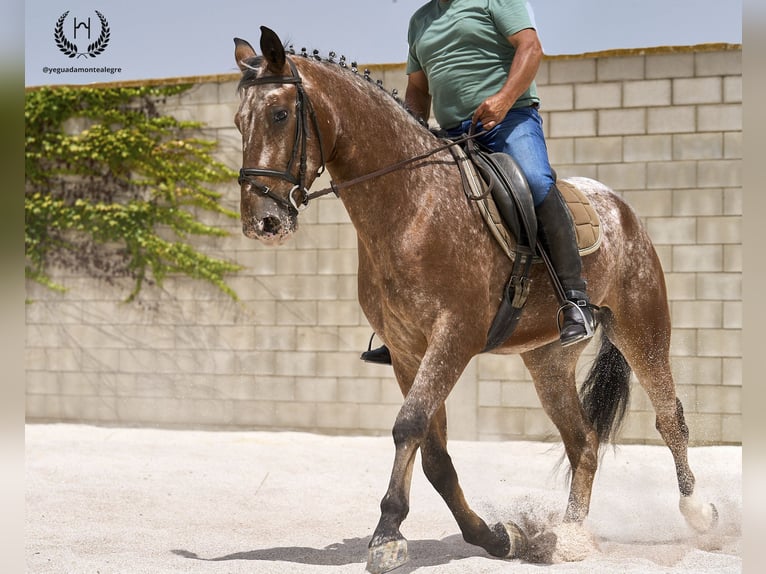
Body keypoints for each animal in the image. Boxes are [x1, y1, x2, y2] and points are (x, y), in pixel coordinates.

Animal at [232, 27, 720, 574]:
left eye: (279, 114)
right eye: (238, 121)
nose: (262, 222)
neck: (413, 201)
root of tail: (620, 207)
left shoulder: (453, 336)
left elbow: (409, 426)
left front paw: (387, 536)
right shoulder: (408, 350)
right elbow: (434, 455)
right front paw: (495, 537)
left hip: (643, 326)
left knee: (669, 418)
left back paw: (699, 514)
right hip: (548, 360)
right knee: (584, 443)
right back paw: (568, 538)